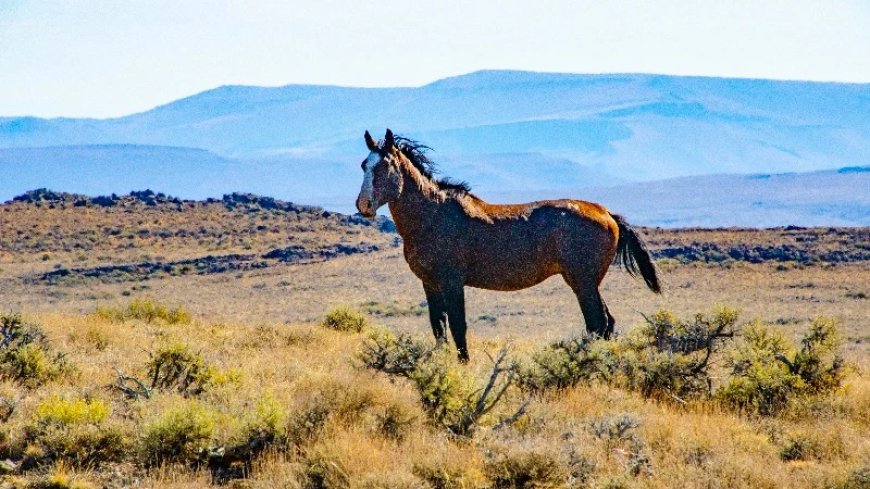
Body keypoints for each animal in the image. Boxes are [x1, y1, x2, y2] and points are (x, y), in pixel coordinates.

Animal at [356, 129, 661, 361]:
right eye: (363, 165)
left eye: (385, 166)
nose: (364, 205)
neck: (432, 215)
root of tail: (607, 213)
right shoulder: (429, 283)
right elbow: (438, 328)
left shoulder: (451, 281)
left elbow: (458, 326)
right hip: (587, 282)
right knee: (606, 323)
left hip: (582, 281)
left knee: (597, 323)